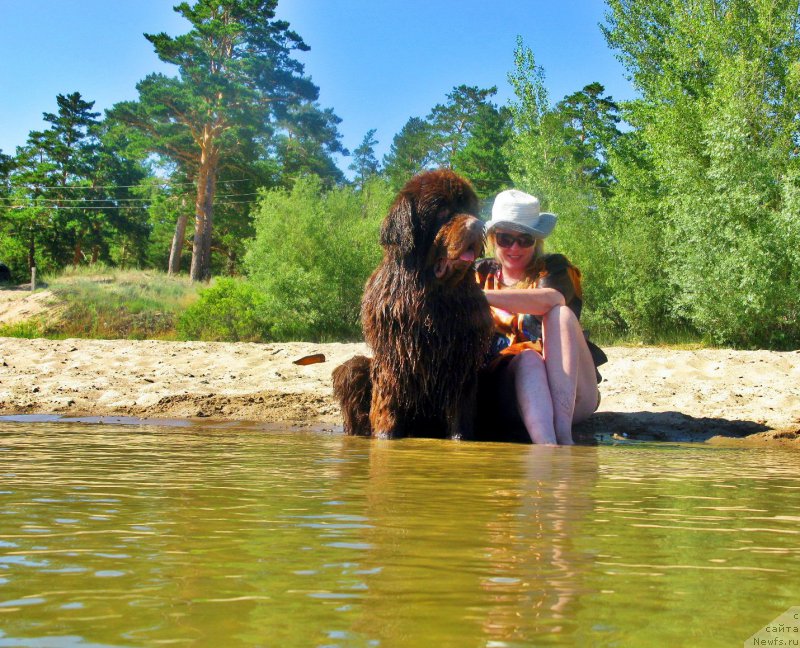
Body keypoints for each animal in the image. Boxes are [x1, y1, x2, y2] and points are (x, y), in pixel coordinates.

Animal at [332, 168, 494, 440]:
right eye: (442, 210)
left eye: (469, 208)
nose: (477, 225)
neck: (433, 296)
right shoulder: (394, 357)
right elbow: (387, 407)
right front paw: (385, 439)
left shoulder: (461, 361)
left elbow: (460, 414)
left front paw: (460, 441)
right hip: (353, 369)